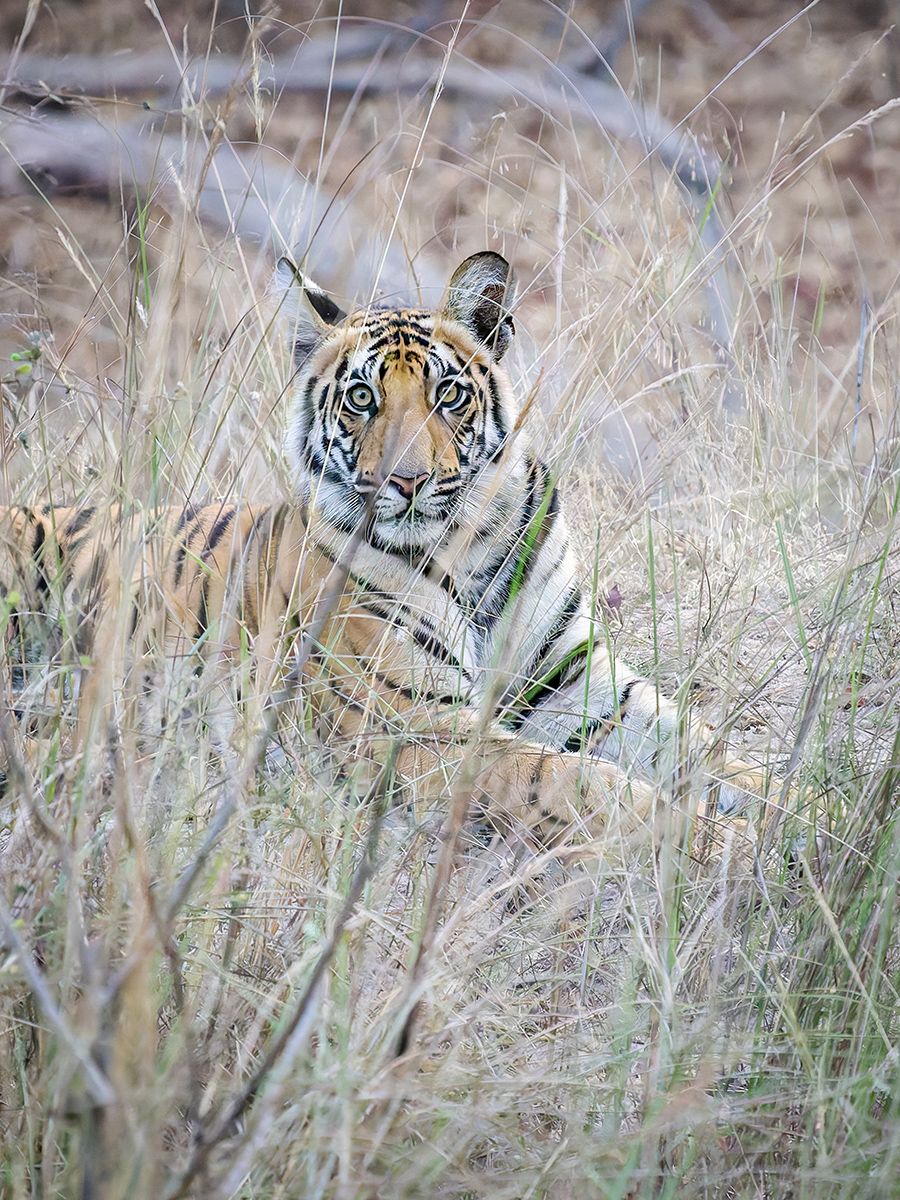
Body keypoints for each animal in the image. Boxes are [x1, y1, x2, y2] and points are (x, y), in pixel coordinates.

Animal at [0, 251, 776, 862]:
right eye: (362, 398)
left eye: (449, 394)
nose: (406, 481)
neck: (471, 550)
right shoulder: (414, 727)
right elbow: (572, 783)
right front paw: (721, 841)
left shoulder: (572, 677)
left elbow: (703, 745)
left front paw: (790, 804)